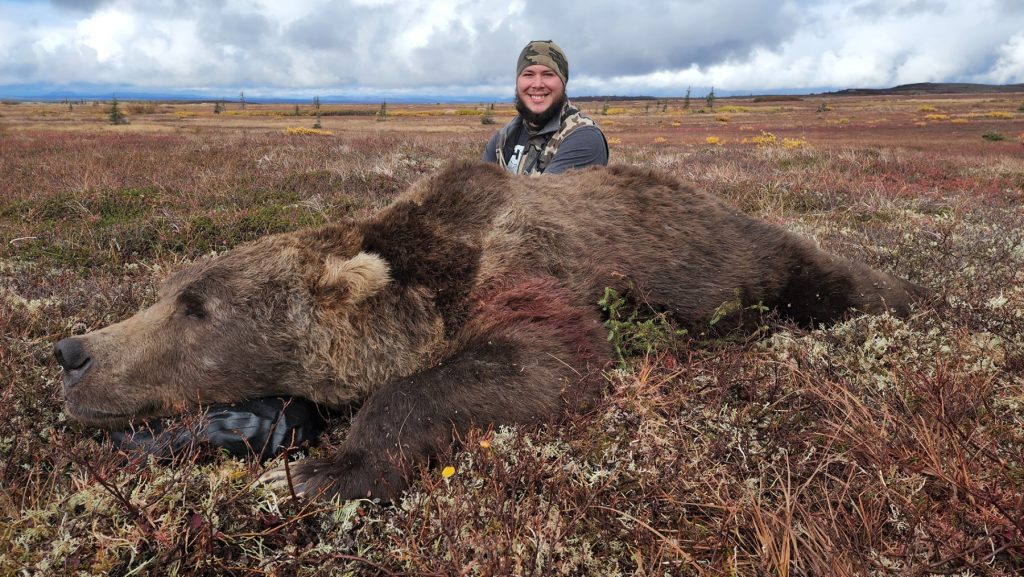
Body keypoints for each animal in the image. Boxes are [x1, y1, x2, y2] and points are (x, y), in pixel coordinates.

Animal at [51, 158, 925, 502]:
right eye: (167, 291)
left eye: (198, 306)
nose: (70, 351)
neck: (433, 268)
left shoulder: (531, 277)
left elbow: (538, 366)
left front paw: (326, 469)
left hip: (753, 258)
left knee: (835, 281)